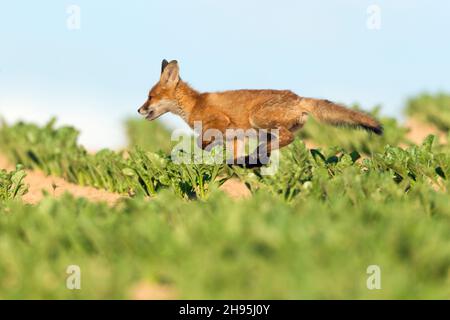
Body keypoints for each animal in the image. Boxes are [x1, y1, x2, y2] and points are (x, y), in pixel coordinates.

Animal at [136, 58, 380, 168]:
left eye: (150, 96)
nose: (139, 109)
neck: (194, 104)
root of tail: (298, 97)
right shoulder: (234, 138)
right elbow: (230, 155)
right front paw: (233, 163)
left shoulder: (219, 122)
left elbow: (200, 143)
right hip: (265, 128)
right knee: (278, 142)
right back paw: (257, 156)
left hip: (258, 119)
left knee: (288, 138)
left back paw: (258, 154)